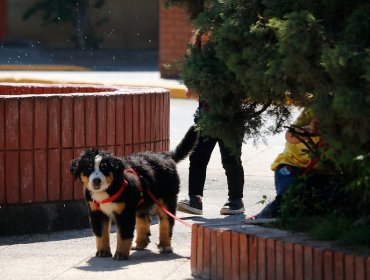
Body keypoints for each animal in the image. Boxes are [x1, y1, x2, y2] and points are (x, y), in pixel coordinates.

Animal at [69, 126, 197, 260]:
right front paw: (103, 252)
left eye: (104, 167)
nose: (96, 180)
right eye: (88, 167)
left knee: (166, 222)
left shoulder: (124, 212)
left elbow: (124, 234)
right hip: (141, 203)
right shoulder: (96, 212)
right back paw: (140, 243)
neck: (108, 189)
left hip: (167, 199)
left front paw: (120, 254)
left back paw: (165, 245)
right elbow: (101, 234)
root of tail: (165, 156)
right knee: (144, 220)